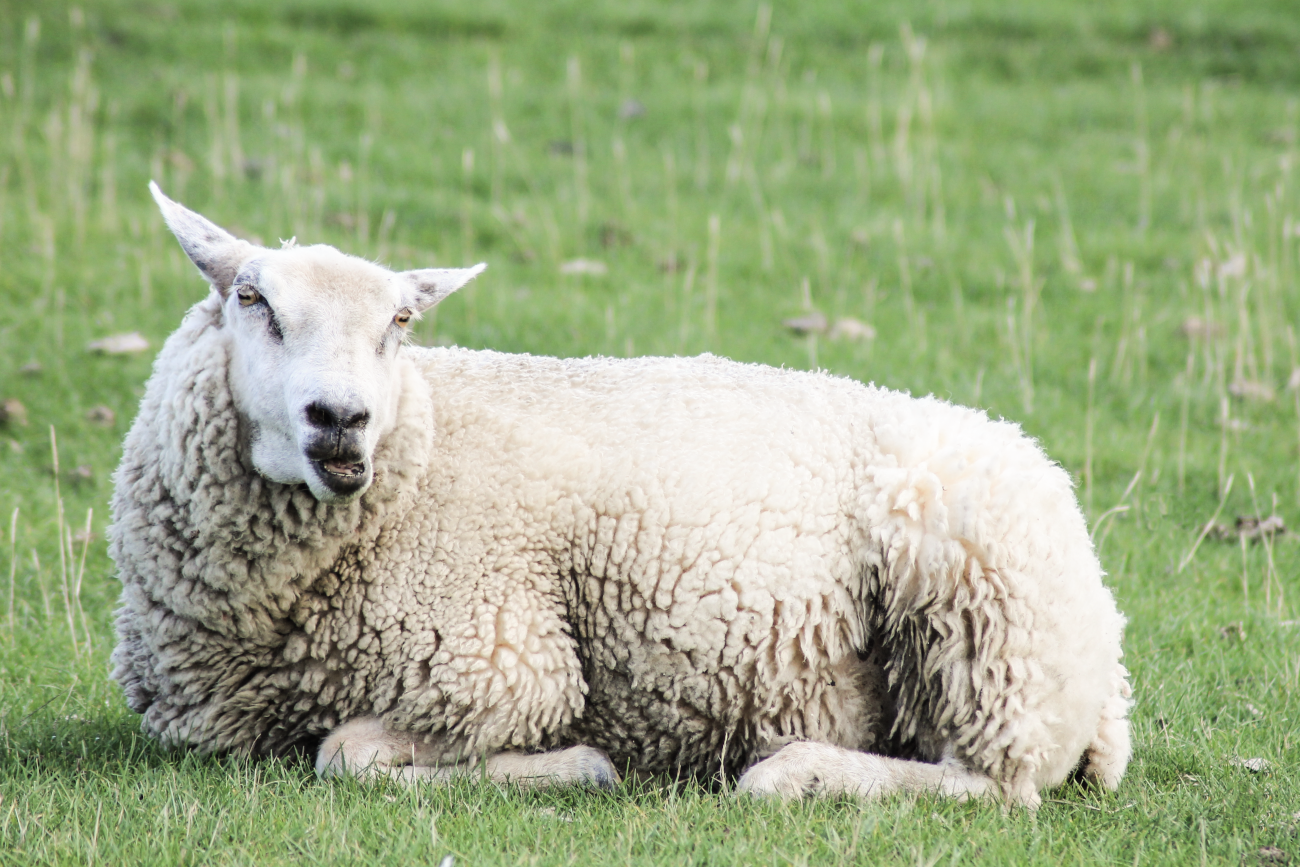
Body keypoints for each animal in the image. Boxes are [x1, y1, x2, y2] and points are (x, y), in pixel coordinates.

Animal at [109, 183, 1132, 807]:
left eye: (399, 321)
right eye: (252, 300)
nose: (341, 420)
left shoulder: (505, 663)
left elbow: (345, 754)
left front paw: (579, 765)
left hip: (987, 626)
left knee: (995, 782)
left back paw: (790, 772)